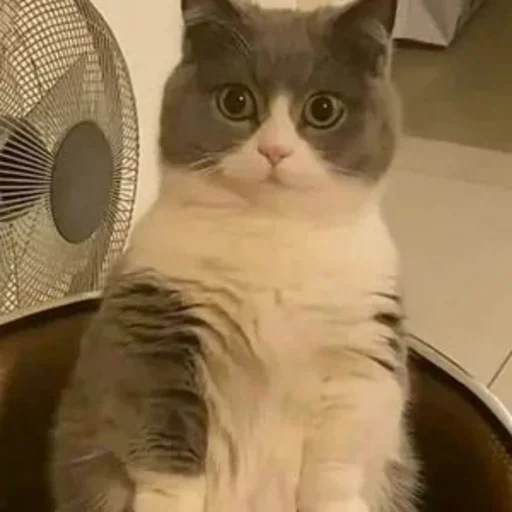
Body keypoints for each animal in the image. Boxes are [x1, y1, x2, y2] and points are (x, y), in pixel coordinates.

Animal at [51, 1, 419, 511]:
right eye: (236, 101)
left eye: (323, 109)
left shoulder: (363, 353)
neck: (273, 229)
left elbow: (336, 462)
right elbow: (167, 450)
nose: (274, 150)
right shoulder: (155, 333)